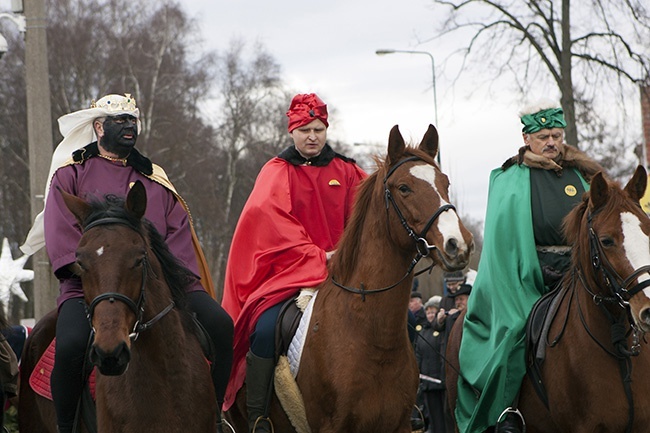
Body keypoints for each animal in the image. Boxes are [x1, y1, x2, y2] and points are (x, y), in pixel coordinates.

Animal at [225, 123, 474, 430]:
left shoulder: (400, 425)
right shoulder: (333, 427)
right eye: (404, 188)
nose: (458, 244)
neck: (374, 338)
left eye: (445, 183)